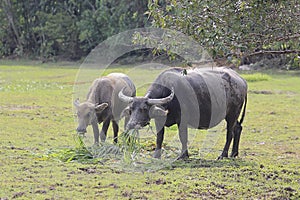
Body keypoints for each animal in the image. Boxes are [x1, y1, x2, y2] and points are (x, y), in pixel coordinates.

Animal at [118, 67, 247, 159]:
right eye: (131, 109)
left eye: (144, 108)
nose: (131, 124)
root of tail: (241, 81)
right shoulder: (159, 120)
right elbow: (159, 137)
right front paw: (156, 155)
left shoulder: (182, 120)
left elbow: (182, 136)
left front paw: (183, 155)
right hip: (234, 115)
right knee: (238, 128)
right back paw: (234, 153)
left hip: (232, 114)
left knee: (230, 133)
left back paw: (223, 155)